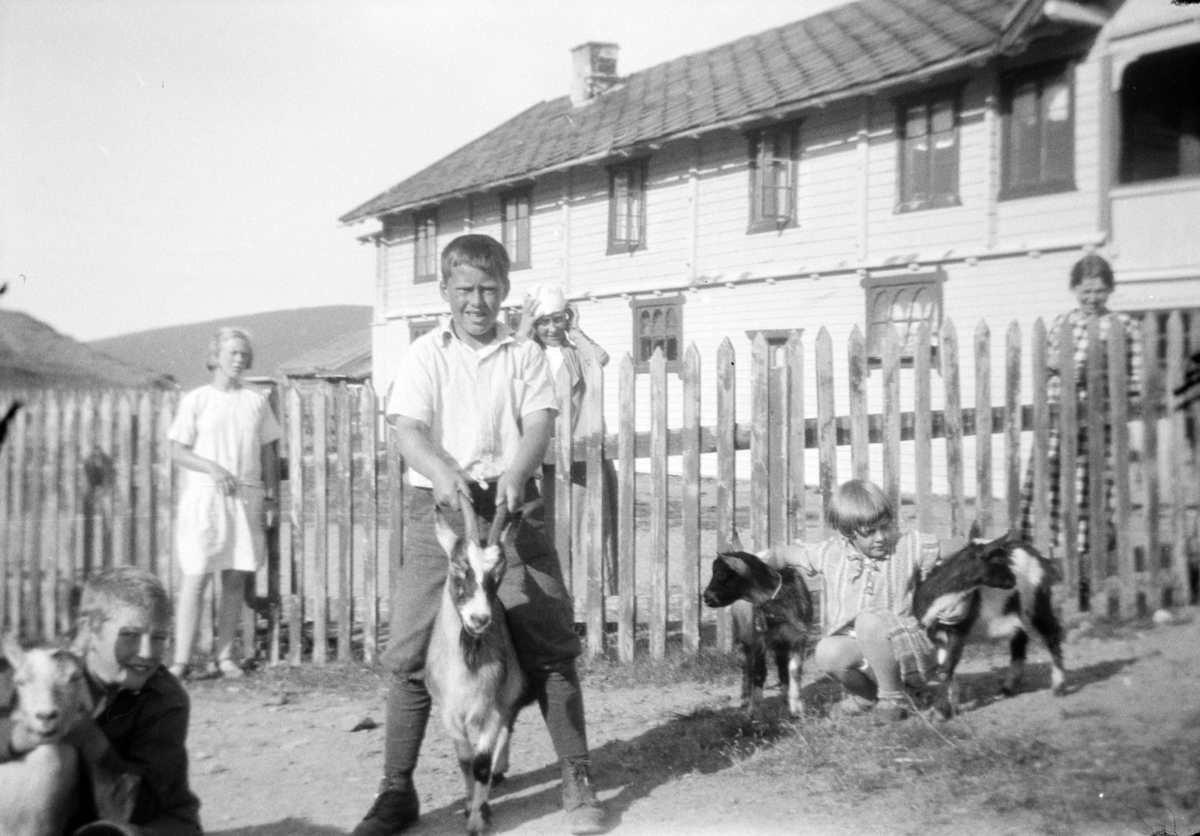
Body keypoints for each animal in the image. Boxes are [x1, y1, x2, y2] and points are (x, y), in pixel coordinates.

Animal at [427, 498, 530, 830]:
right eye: (459, 567)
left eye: (499, 574)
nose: (479, 618)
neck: (467, 669)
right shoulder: (448, 711)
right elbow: (465, 761)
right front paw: (469, 804)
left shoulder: (493, 709)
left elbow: (481, 763)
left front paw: (477, 819)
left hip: (510, 697)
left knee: (507, 730)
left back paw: (498, 770)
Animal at [700, 544, 816, 714]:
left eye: (721, 574)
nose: (706, 597)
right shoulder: (759, 640)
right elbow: (759, 672)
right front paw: (754, 710)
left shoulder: (798, 637)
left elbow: (794, 670)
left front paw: (796, 708)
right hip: (746, 635)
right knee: (747, 665)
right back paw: (745, 698)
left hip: (779, 641)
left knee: (781, 665)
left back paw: (784, 695)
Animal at [907, 525, 1070, 714]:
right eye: (998, 560)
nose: (1013, 580)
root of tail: (1035, 553)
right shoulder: (935, 634)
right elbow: (945, 669)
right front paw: (951, 705)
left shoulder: (958, 630)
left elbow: (946, 669)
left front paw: (941, 711)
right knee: (1020, 638)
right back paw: (1008, 688)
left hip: (1036, 600)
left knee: (1051, 633)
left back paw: (1058, 687)